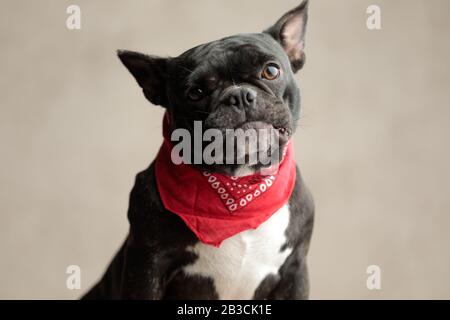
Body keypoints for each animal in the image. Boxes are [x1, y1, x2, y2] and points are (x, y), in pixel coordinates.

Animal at [84, 0, 314, 300]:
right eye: (195, 93)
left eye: (271, 71)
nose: (239, 95)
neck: (240, 180)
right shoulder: (145, 269)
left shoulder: (295, 271)